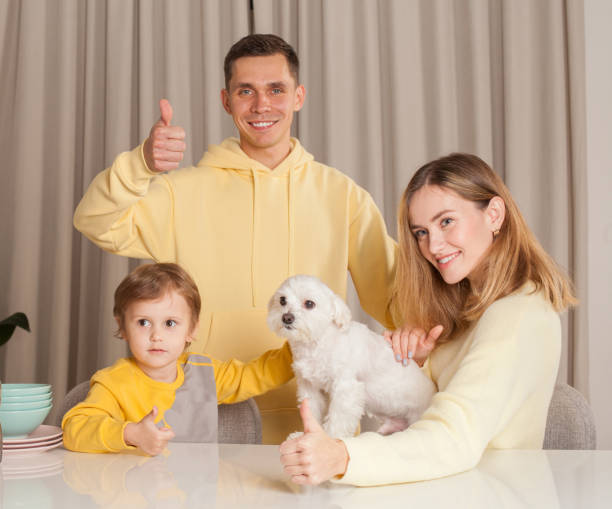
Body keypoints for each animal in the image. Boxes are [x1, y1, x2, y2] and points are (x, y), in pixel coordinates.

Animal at [268, 274, 436, 436]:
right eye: (282, 300)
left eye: (309, 303)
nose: (287, 317)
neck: (318, 342)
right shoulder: (310, 387)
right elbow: (312, 412)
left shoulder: (346, 388)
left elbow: (337, 419)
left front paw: (328, 439)